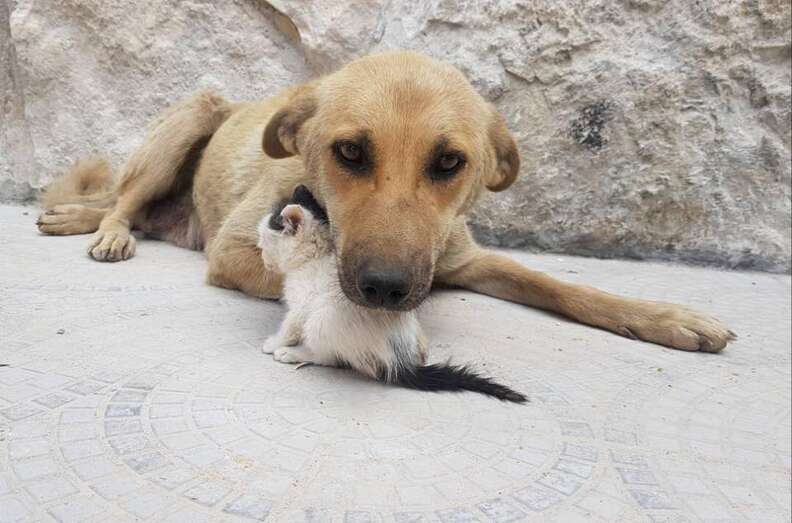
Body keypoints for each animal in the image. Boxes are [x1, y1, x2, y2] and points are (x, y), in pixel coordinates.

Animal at [37, 50, 736, 352]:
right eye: (349, 152)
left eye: (450, 163)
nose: (384, 288)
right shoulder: (235, 249)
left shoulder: (463, 258)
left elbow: (562, 286)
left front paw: (664, 317)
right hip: (193, 115)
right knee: (123, 200)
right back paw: (104, 230)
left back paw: (78, 216)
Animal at [255, 186, 524, 404]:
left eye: (263, 242)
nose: (265, 261)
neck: (315, 255)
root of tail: (399, 363)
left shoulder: (303, 305)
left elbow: (289, 327)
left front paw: (275, 343)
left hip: (323, 320)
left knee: (329, 357)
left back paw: (294, 354)